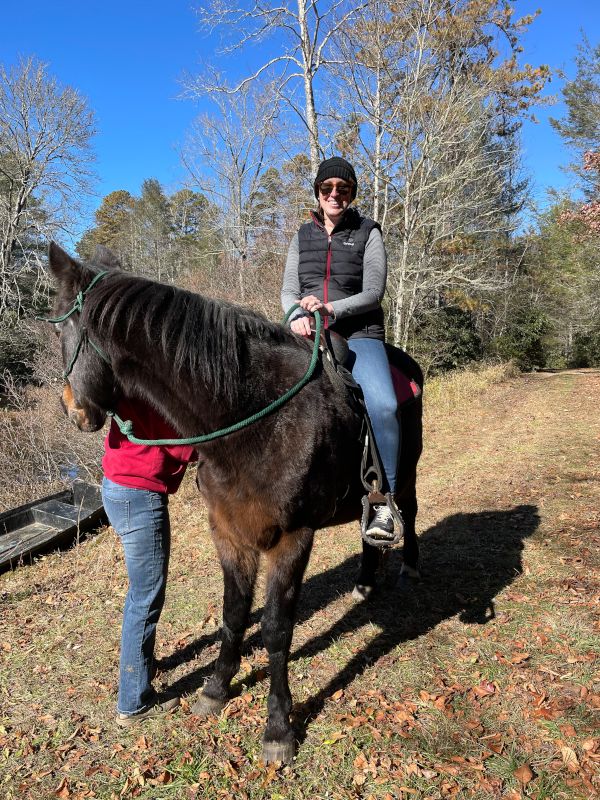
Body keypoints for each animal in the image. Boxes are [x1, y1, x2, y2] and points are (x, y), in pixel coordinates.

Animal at [47, 242, 422, 764]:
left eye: (59, 328)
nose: (73, 410)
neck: (252, 417)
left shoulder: (291, 539)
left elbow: (277, 630)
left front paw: (279, 727)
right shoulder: (228, 532)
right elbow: (233, 615)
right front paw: (216, 689)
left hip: (404, 474)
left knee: (407, 509)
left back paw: (410, 567)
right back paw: (366, 581)